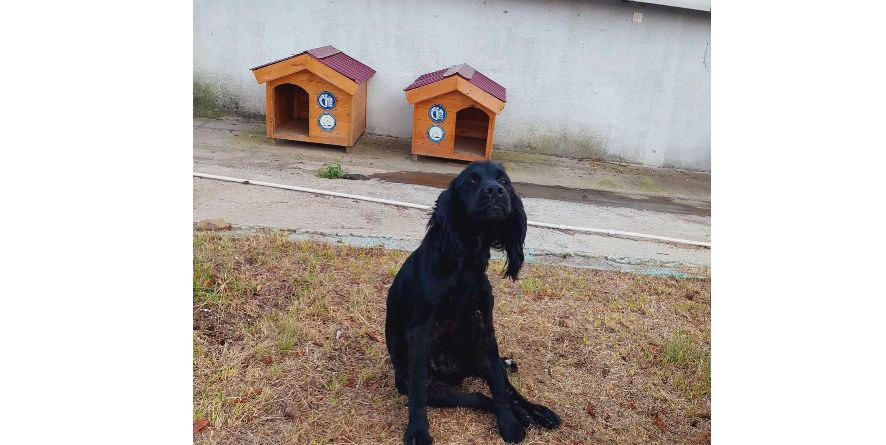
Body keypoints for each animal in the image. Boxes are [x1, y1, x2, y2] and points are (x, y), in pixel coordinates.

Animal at [384, 161, 560, 442]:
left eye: (504, 181)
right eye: (471, 181)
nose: (495, 191)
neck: (465, 263)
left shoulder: (486, 327)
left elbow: (499, 386)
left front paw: (508, 424)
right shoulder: (420, 332)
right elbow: (418, 394)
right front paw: (418, 431)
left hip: (482, 357)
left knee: (506, 388)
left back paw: (537, 412)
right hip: (437, 389)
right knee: (478, 396)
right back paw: (523, 415)